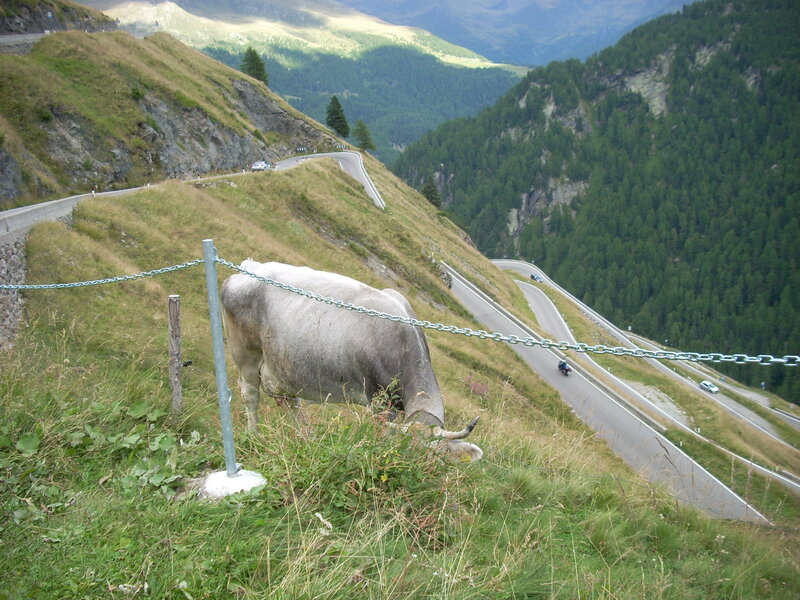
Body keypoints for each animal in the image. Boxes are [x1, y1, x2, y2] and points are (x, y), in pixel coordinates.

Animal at [220, 260, 483, 461]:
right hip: (245, 355)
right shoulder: (377, 400)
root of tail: (250, 266)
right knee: (250, 394)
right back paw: (254, 435)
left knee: (288, 402)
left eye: (436, 457)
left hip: (284, 365)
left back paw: (306, 438)